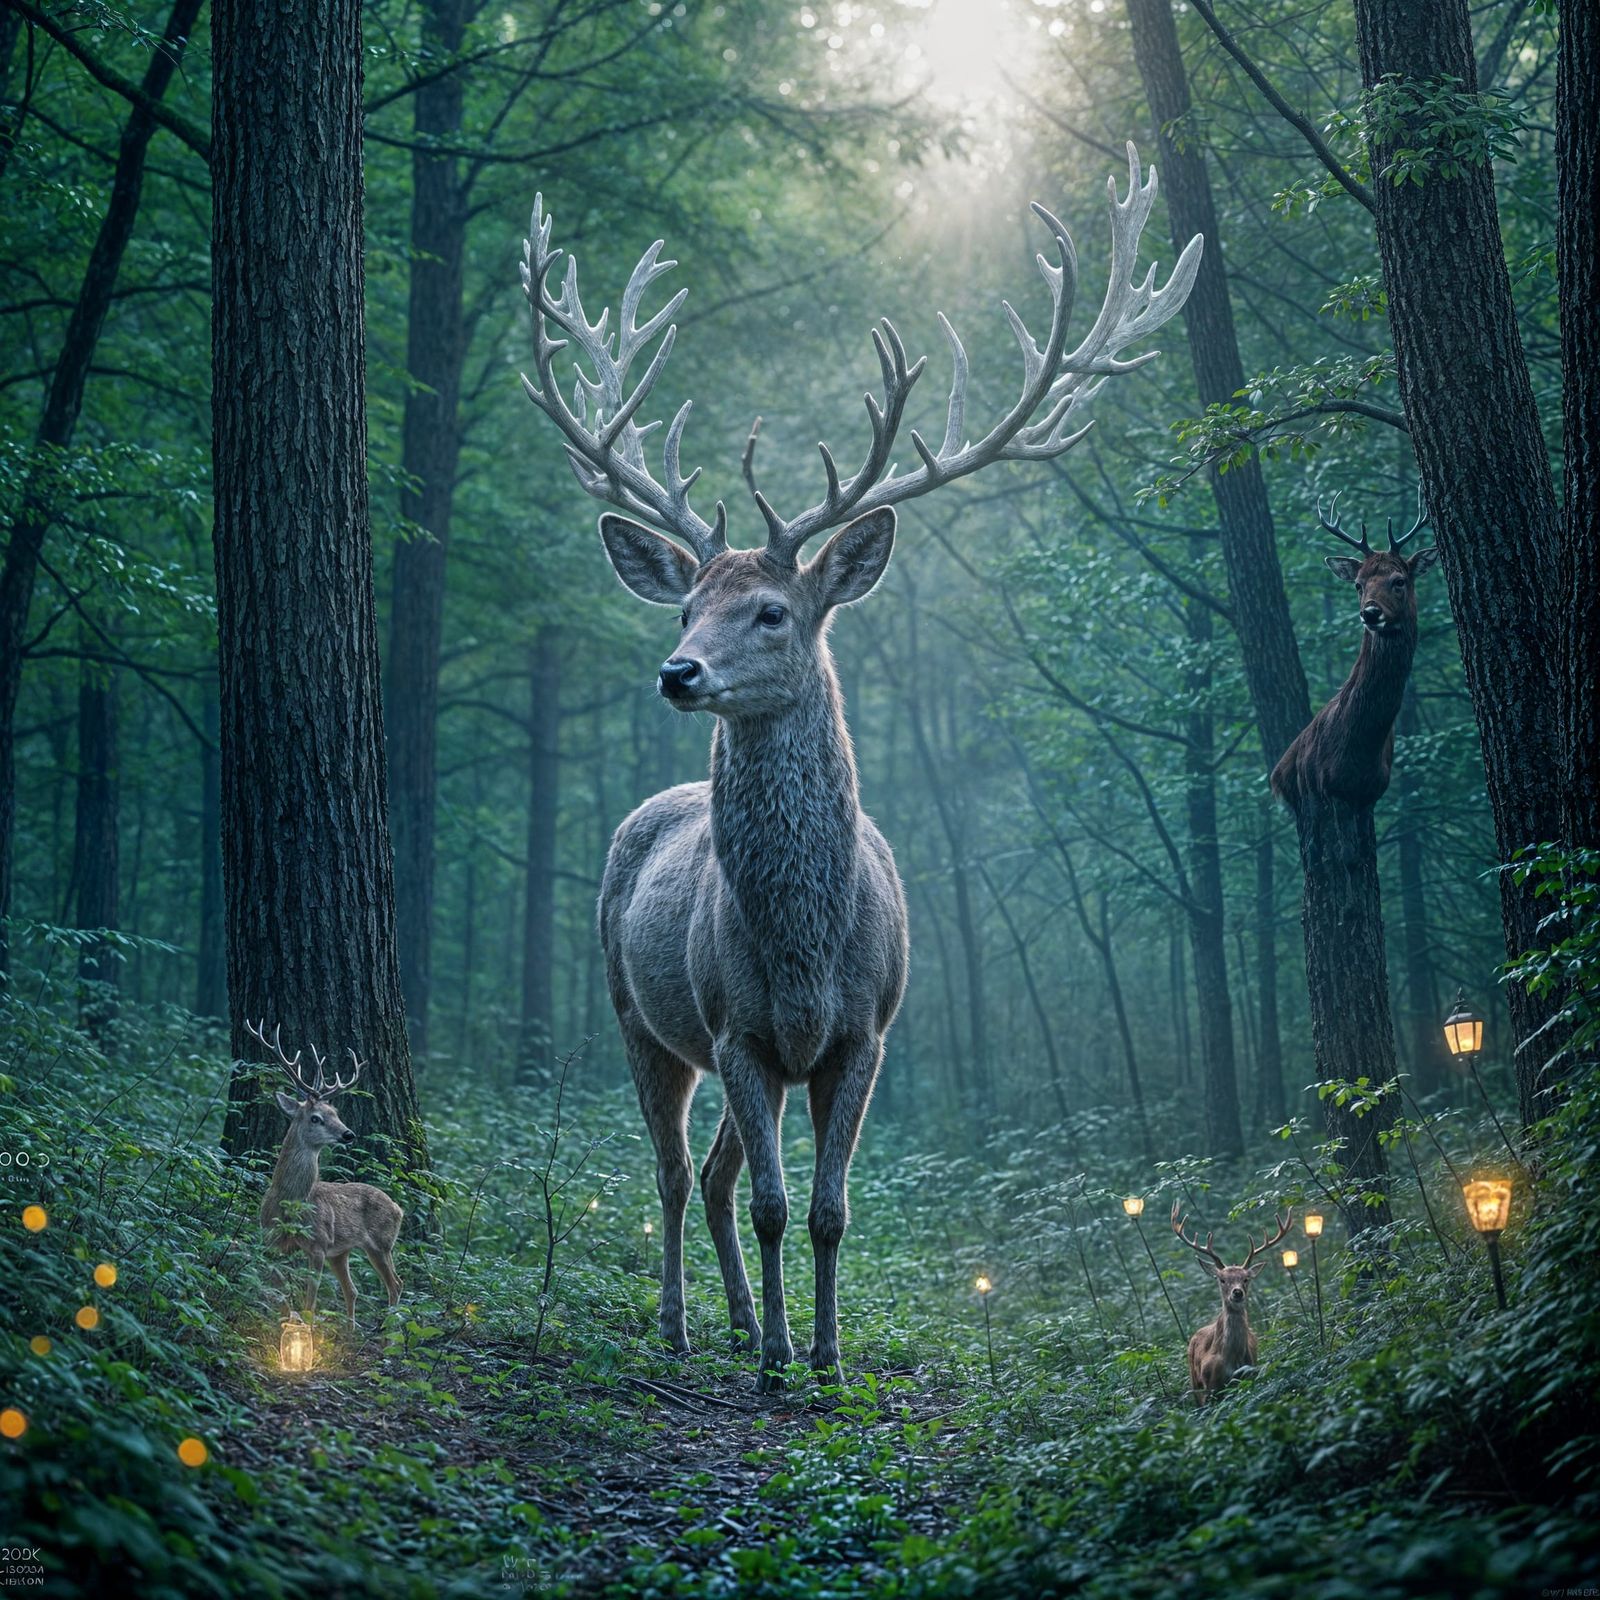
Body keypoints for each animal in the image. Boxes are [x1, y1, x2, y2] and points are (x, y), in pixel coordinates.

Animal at [248, 1020, 404, 1327]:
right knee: (353, 1290)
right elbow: (273, 1287)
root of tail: (398, 1207)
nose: (348, 1134)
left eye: (336, 1113)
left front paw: (305, 1328)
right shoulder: (270, 1238)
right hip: (342, 1251)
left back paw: (387, 1327)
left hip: (381, 1242)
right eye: (316, 1117)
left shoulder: (319, 1243)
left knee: (395, 1284)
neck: (290, 1202)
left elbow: (310, 1300)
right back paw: (353, 1328)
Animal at [517, 147, 1202, 1389]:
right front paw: (784, 1360)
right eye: (686, 604)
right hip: (637, 1012)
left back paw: (741, 1319)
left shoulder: (864, 1032)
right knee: (674, 1172)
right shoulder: (735, 1027)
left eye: (773, 610)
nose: (677, 670)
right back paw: (688, 1323)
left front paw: (824, 1351)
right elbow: (781, 1204)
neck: (801, 946)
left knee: (714, 1173)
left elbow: (827, 1207)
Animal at [1172, 1201, 1292, 1404]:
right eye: (1222, 1279)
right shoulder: (1210, 1385)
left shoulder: (1250, 1372)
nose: (1237, 1293)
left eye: (1246, 1279)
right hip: (1193, 1380)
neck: (1231, 1361)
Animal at [1270, 495, 1440, 811]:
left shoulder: (1370, 794)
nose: (1370, 612)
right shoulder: (1325, 794)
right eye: (1358, 585)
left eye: (1399, 580)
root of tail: (1277, 773)